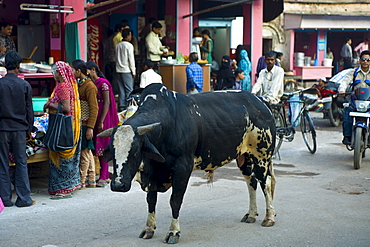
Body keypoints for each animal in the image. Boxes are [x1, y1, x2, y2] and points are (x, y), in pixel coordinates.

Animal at [98, 84, 274, 244]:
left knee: (266, 183)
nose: (118, 184)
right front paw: (148, 228)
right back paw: (251, 214)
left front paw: (173, 232)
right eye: (112, 151)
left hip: (262, 156)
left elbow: (175, 201)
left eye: (135, 151)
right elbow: (151, 200)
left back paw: (269, 217)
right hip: (244, 157)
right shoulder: (153, 172)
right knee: (251, 182)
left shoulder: (182, 168)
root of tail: (259, 101)